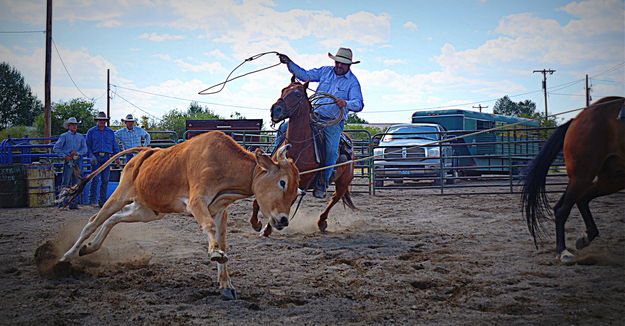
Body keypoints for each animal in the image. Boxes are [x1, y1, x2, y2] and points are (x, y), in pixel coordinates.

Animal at [249, 77, 356, 234]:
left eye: (298, 94)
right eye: (283, 90)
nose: (275, 110)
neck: (297, 147)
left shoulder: (301, 183)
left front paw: (268, 228)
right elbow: (257, 200)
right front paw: (256, 223)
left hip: (344, 181)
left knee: (335, 198)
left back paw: (322, 222)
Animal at [520, 96, 624, 262]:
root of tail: (576, 119)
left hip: (613, 178)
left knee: (580, 199)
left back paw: (583, 239)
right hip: (583, 175)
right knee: (563, 208)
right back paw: (563, 252)